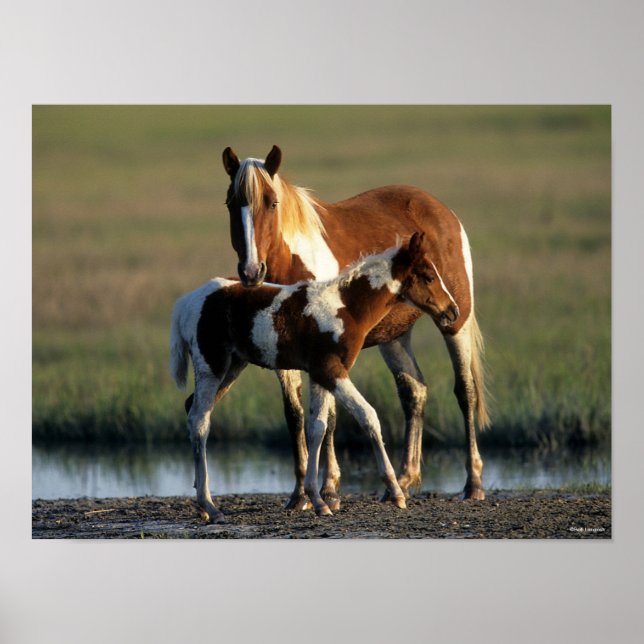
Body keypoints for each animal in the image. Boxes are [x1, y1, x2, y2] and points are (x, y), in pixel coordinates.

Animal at [170, 233, 459, 520]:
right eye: (428, 276)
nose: (452, 311)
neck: (346, 308)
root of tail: (187, 302)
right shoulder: (330, 370)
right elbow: (368, 416)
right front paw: (396, 492)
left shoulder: (320, 375)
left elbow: (317, 427)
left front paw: (318, 500)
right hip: (211, 366)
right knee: (199, 421)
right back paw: (209, 505)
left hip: (232, 366)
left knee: (191, 407)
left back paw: (202, 504)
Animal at [222, 145, 489, 507]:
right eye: (231, 203)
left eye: (272, 202)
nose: (251, 271)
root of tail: (440, 209)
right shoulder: (285, 353)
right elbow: (296, 416)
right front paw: (300, 495)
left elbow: (328, 418)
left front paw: (329, 491)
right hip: (395, 336)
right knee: (414, 391)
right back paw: (403, 480)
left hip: (454, 321)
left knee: (465, 391)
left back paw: (473, 483)